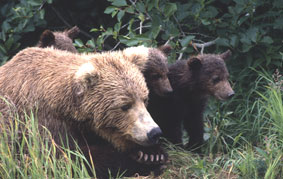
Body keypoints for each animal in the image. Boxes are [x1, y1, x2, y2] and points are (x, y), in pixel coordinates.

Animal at [0, 46, 165, 178]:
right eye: (125, 105)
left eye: (145, 99)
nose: (154, 132)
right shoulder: (41, 121)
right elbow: (67, 159)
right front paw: (140, 160)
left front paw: (152, 154)